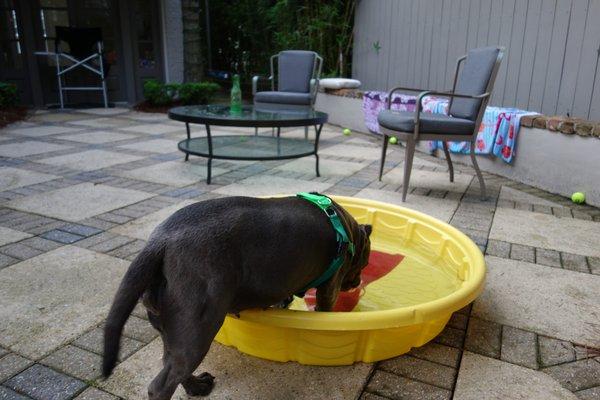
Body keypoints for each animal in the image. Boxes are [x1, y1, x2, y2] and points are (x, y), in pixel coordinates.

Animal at [105, 196, 372, 400]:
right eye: (364, 261)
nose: (356, 282)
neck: (346, 227)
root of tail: (160, 243)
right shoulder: (330, 287)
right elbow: (325, 308)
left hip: (171, 330)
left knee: (169, 363)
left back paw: (197, 387)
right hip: (197, 332)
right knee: (161, 386)